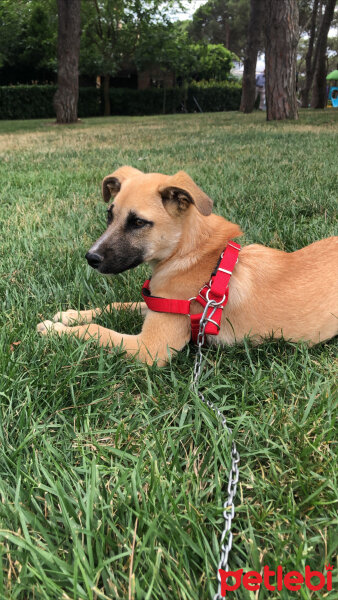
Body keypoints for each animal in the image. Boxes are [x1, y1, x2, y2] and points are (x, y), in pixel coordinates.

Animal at [37, 165, 338, 366]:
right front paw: (71, 315)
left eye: (138, 222)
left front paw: (55, 330)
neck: (190, 252)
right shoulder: (160, 303)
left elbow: (98, 332)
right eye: (109, 216)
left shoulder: (151, 347)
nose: (91, 257)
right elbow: (117, 305)